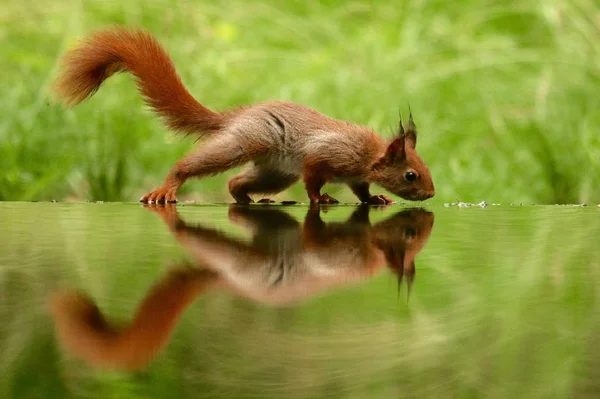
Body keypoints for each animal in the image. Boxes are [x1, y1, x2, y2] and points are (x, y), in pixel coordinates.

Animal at [52, 26, 436, 205]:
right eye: (411, 175)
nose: (431, 194)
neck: (369, 155)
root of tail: (238, 115)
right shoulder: (325, 155)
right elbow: (314, 180)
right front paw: (321, 198)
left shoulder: (354, 175)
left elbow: (361, 190)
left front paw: (375, 198)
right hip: (244, 144)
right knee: (198, 165)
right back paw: (170, 184)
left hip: (275, 174)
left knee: (236, 182)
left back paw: (249, 199)